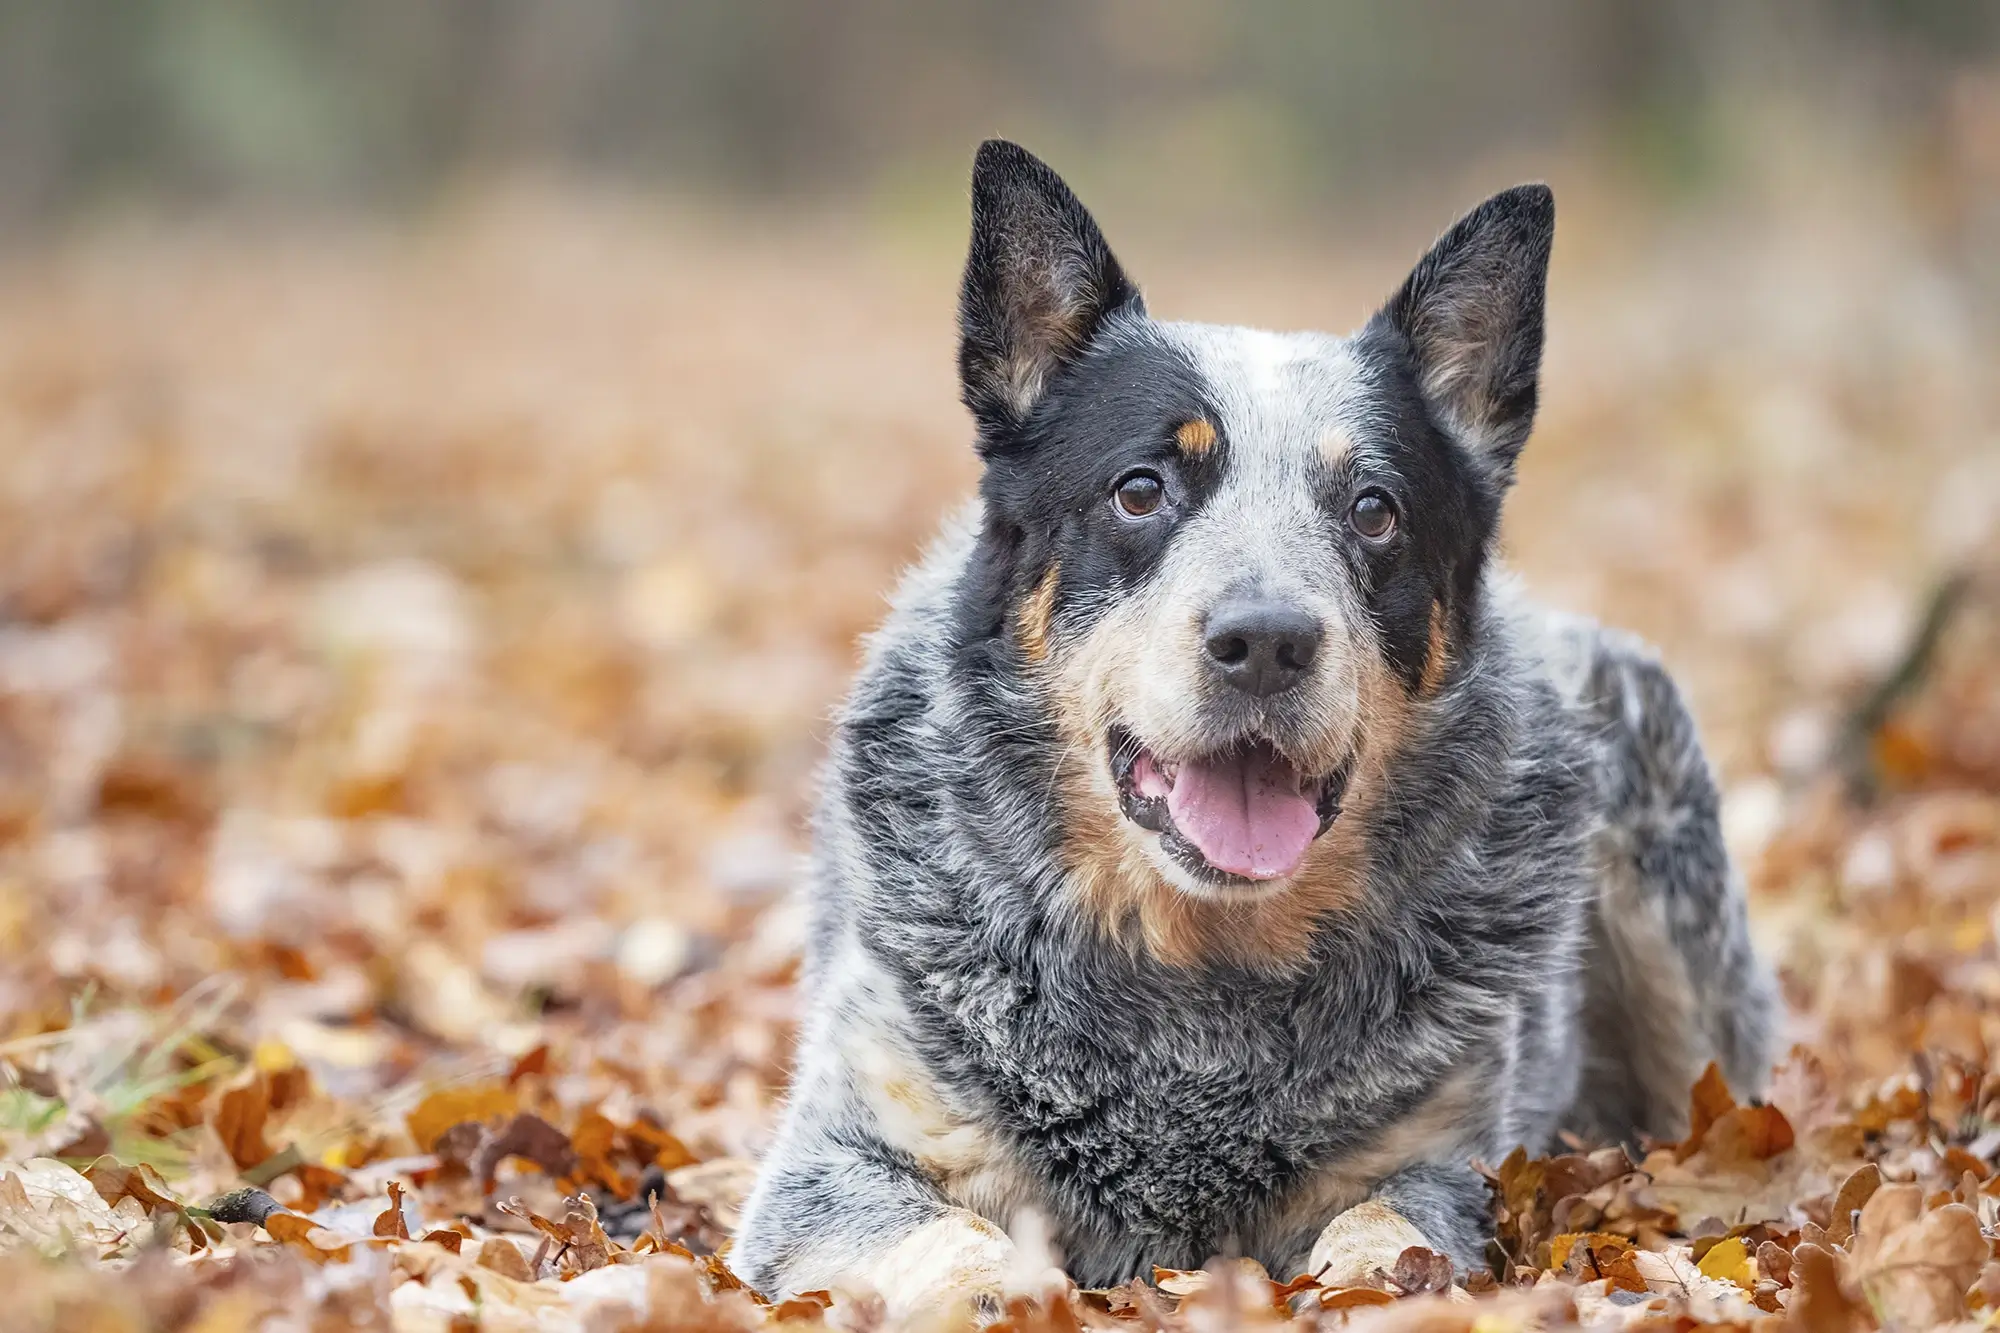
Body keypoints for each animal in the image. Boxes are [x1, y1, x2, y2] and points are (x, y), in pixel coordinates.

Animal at [728, 137, 1776, 1304]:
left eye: (1374, 509)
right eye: (1140, 489)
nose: (1265, 639)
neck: (1199, 983)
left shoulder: (1436, 1161)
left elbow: (1383, 1234)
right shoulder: (833, 1165)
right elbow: (955, 1244)